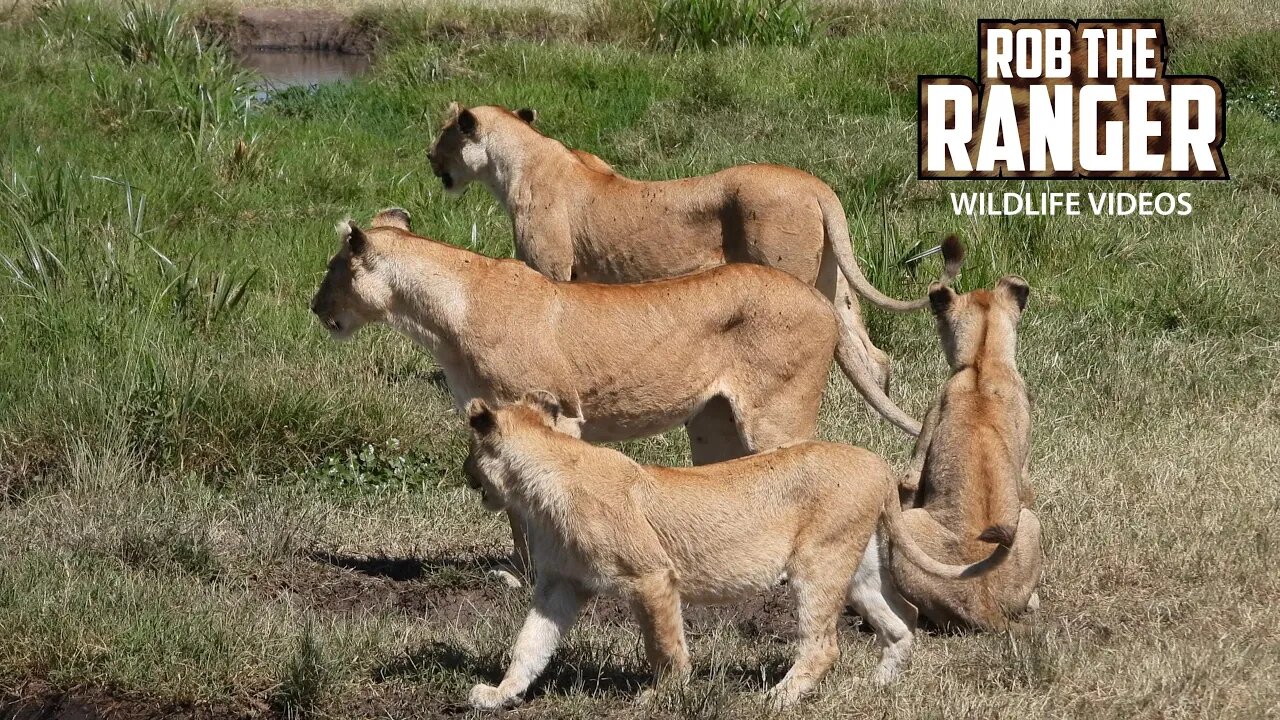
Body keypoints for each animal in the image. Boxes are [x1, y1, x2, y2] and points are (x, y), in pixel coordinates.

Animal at [311, 207, 839, 584]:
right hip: (714, 423)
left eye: (333, 269)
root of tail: (823, 301)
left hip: (774, 416)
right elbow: (511, 504)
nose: (314, 307)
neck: (441, 316)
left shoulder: (559, 413)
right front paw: (519, 574)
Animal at [424, 103, 962, 435]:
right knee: (871, 355)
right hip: (832, 279)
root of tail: (815, 186)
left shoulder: (553, 268)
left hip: (786, 268)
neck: (520, 160)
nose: (428, 157)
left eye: (443, 135)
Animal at [465, 392, 1013, 707]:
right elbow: (529, 645)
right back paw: (874, 688)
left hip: (818, 563)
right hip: (858, 568)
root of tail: (878, 464)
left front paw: (659, 697)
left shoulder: (651, 575)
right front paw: (498, 695)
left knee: (824, 644)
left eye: (470, 451)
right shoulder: (560, 585)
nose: (468, 476)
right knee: (903, 618)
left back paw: (778, 699)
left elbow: (664, 647)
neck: (540, 477)